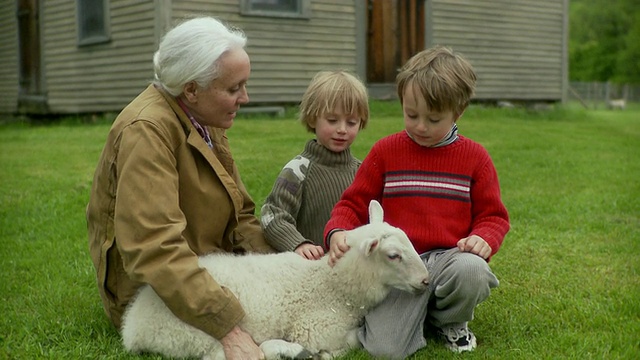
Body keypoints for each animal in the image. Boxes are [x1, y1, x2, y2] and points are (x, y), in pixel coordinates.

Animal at [120, 201, 430, 358]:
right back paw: (288, 351)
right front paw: (326, 353)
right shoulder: (317, 329)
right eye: (393, 255)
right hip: (192, 333)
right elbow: (355, 341)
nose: (426, 281)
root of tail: (132, 325)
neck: (334, 285)